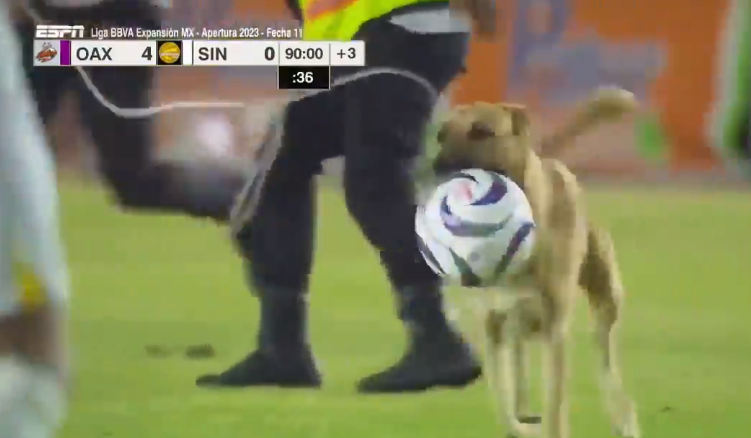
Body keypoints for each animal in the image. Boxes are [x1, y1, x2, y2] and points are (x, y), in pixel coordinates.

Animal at [434, 89, 640, 438]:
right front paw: (522, 424)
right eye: (441, 135)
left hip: (605, 305)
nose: (436, 169)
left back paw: (624, 420)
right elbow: (503, 402)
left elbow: (556, 405)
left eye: (482, 131)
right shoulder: (492, 324)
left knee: (608, 367)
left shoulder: (555, 329)